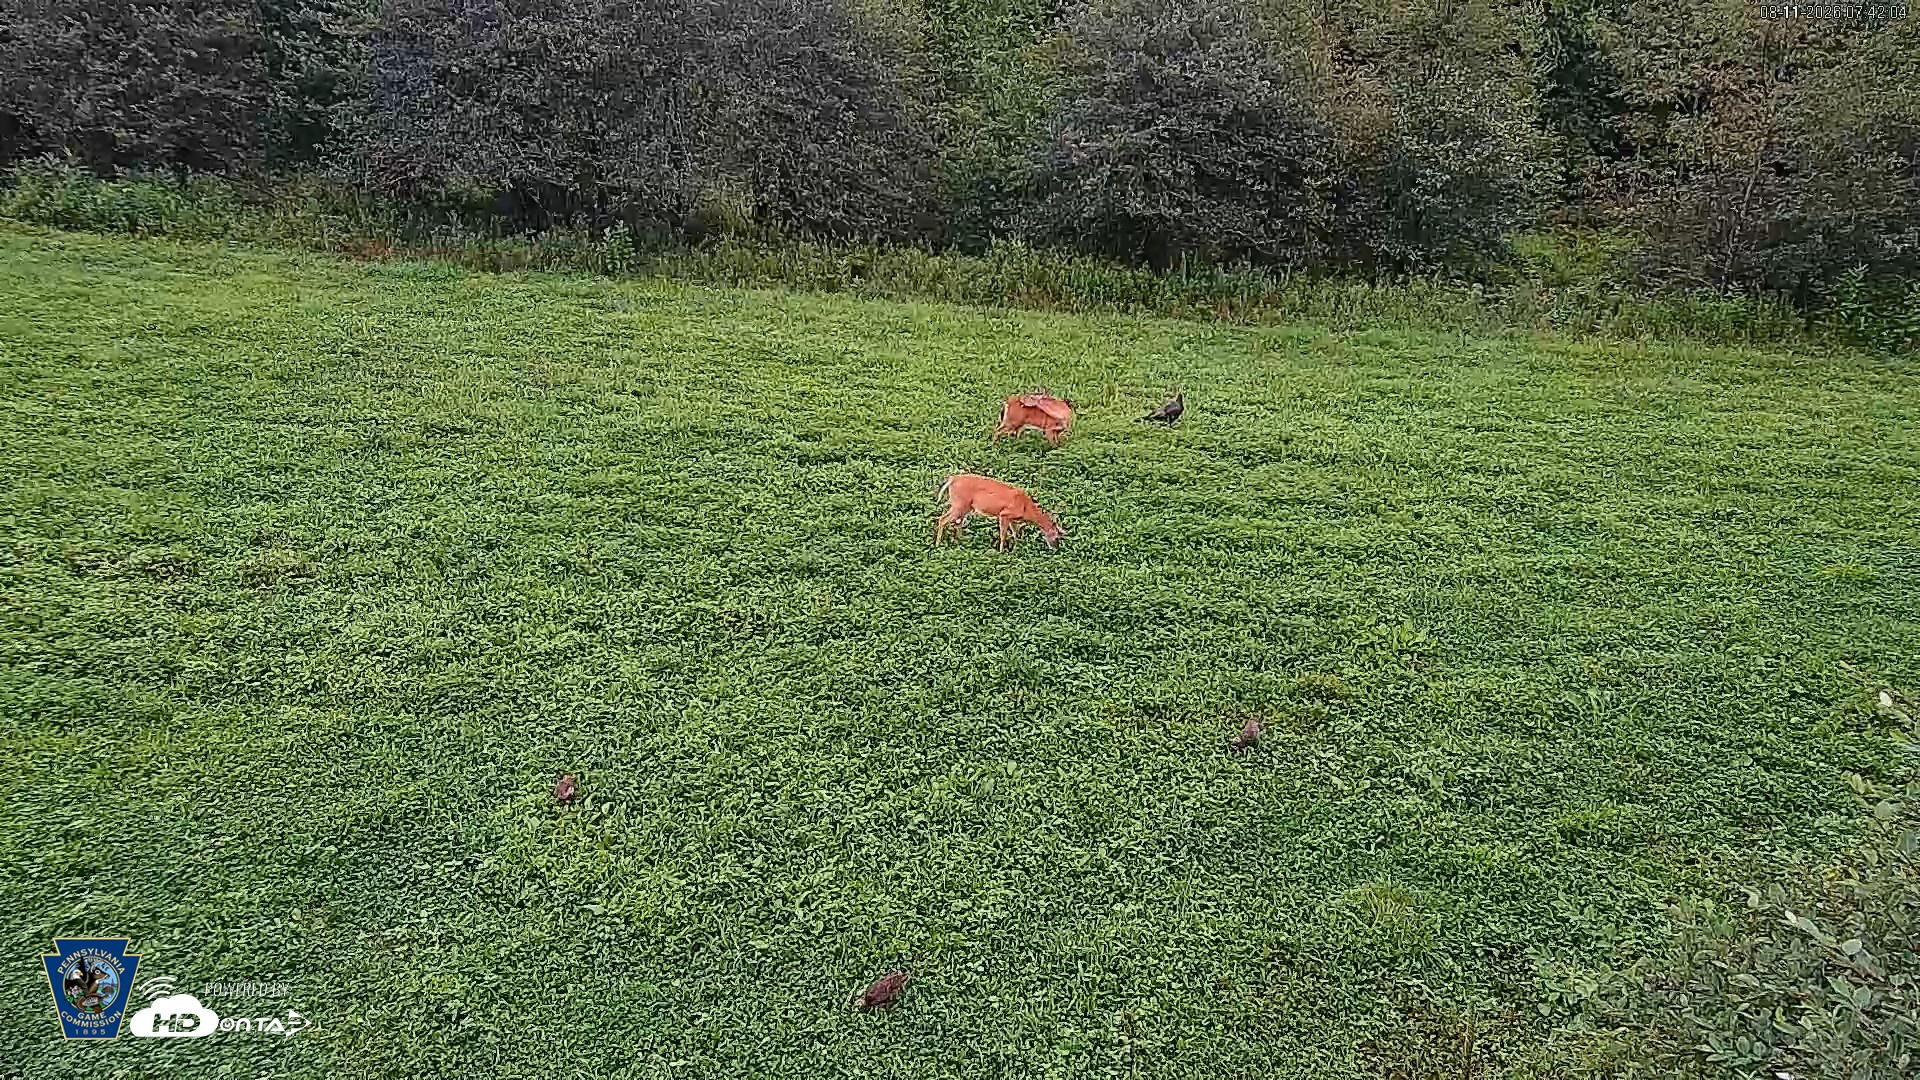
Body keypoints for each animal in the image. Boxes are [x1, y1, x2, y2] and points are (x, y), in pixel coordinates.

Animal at [935, 473, 1064, 551]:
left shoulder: (1012, 519)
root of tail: (952, 479)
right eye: (1057, 537)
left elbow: (1016, 534)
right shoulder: (1004, 514)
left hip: (965, 507)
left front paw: (1018, 547)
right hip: (959, 504)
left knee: (958, 523)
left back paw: (960, 542)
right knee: (942, 519)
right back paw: (937, 544)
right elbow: (1003, 535)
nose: (1055, 549)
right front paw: (1001, 551)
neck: (1025, 508)